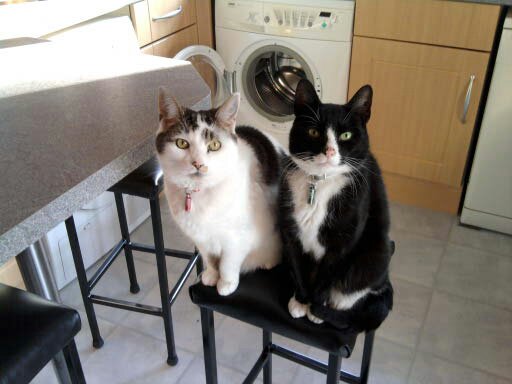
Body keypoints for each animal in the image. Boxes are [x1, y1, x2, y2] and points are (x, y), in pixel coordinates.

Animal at [157, 90, 284, 296]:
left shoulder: (238, 238)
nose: (198, 164)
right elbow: (210, 259)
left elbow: (227, 263)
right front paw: (211, 275)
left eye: (215, 145)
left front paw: (226, 283)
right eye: (181, 143)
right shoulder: (200, 237)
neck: (200, 192)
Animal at [280, 79, 392, 332]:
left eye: (346, 135)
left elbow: (327, 277)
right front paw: (301, 301)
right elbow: (297, 265)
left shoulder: (343, 243)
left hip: (377, 251)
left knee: (358, 284)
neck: (319, 183)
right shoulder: (290, 230)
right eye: (313, 131)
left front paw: (315, 308)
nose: (329, 151)